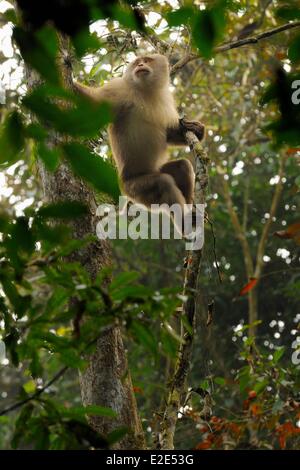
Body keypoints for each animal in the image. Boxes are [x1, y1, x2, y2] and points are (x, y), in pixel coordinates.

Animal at [74, 54, 205, 232]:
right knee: (162, 183)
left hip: (152, 172)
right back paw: (185, 223)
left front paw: (197, 129)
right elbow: (93, 105)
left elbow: (168, 132)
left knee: (182, 166)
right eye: (138, 62)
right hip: (133, 187)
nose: (140, 65)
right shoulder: (118, 88)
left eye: (147, 60)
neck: (145, 91)